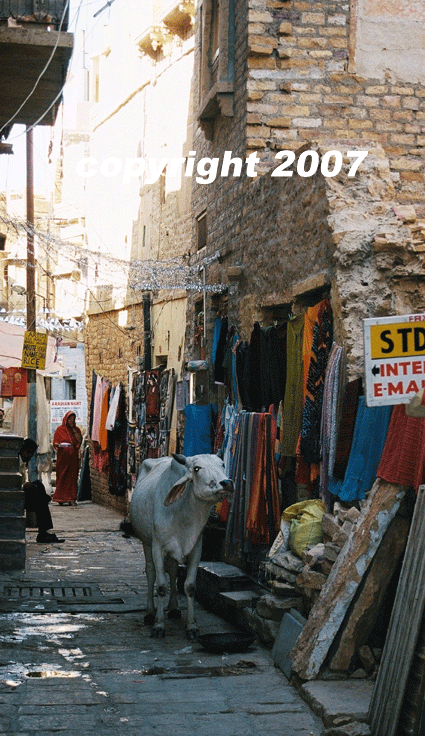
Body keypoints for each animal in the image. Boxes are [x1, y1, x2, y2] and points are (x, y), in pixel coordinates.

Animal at [130, 452, 234, 636]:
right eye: (197, 468)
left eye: (222, 464)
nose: (227, 483)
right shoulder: (158, 548)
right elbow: (161, 586)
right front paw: (159, 625)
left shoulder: (196, 549)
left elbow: (190, 586)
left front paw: (191, 626)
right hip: (146, 542)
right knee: (150, 573)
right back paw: (149, 613)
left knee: (172, 571)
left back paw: (174, 608)